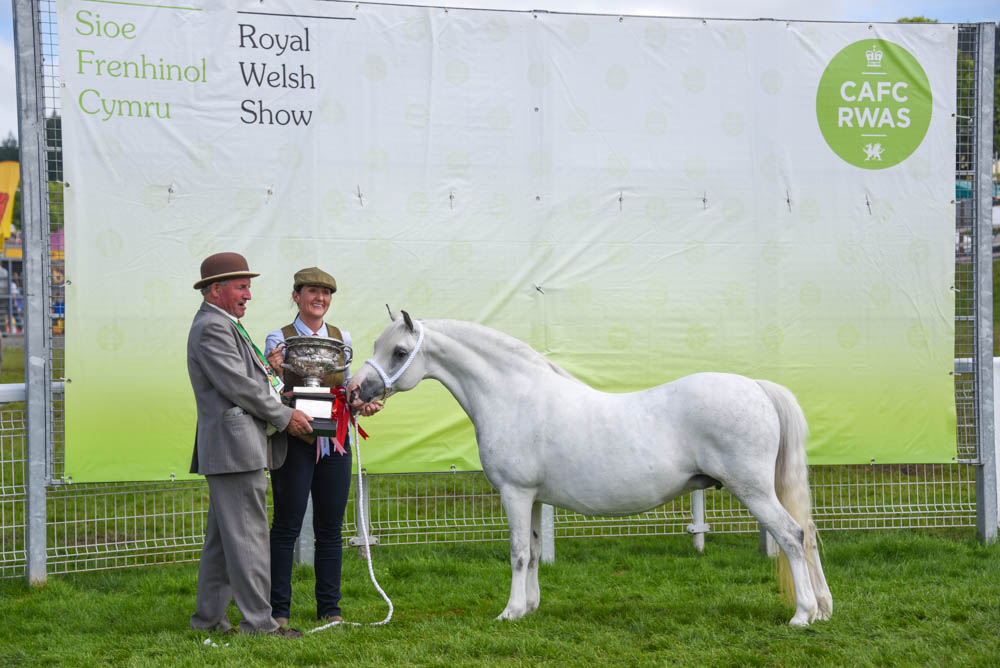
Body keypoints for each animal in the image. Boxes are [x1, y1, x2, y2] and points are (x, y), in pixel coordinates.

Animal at [348, 314, 832, 628]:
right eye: (375, 348)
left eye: (399, 351)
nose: (356, 392)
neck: (514, 395)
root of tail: (757, 388)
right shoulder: (534, 497)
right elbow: (535, 552)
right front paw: (530, 608)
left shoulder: (515, 493)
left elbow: (518, 552)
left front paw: (509, 612)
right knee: (807, 535)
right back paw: (823, 609)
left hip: (753, 491)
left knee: (791, 536)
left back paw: (802, 615)